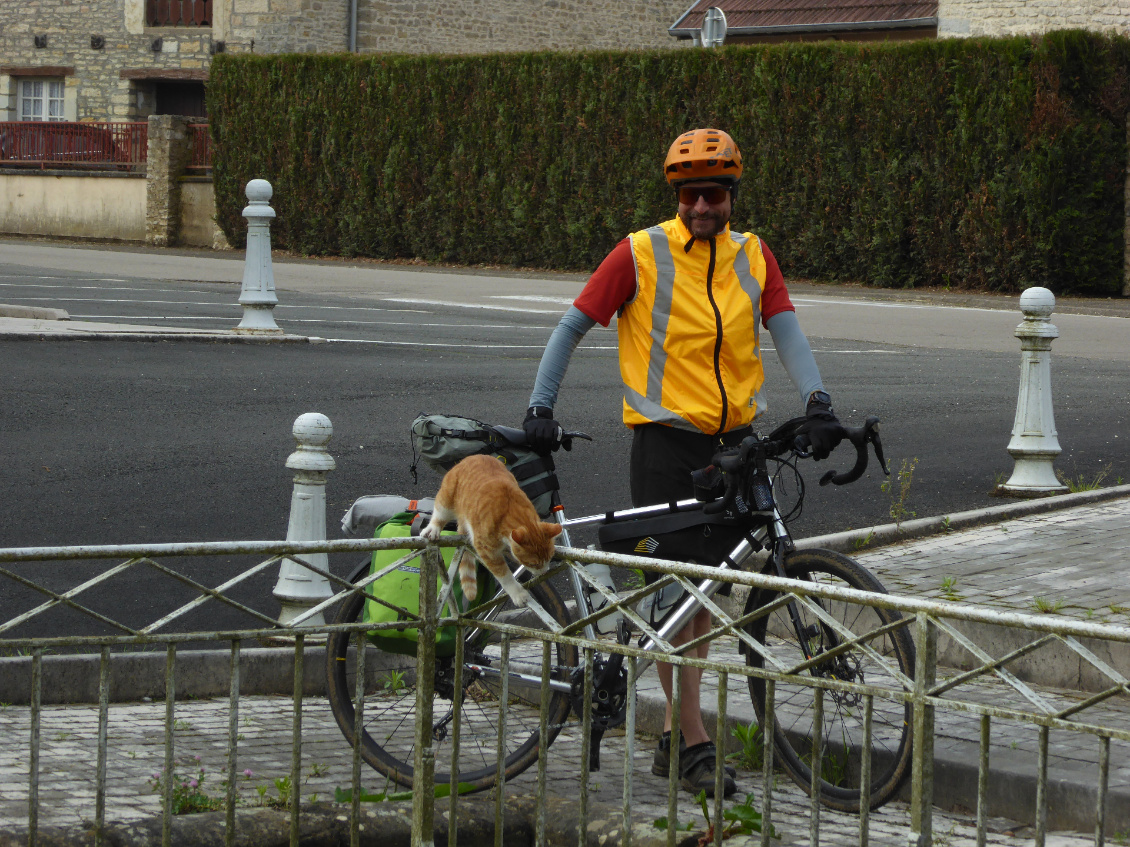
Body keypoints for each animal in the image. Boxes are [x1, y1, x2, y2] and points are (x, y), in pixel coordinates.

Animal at [422, 453, 562, 605]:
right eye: (533, 563)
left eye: (550, 558)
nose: (543, 572)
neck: (510, 511)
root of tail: (474, 456)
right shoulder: (486, 549)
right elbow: (504, 576)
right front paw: (517, 593)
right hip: (447, 498)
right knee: (439, 514)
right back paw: (433, 529)